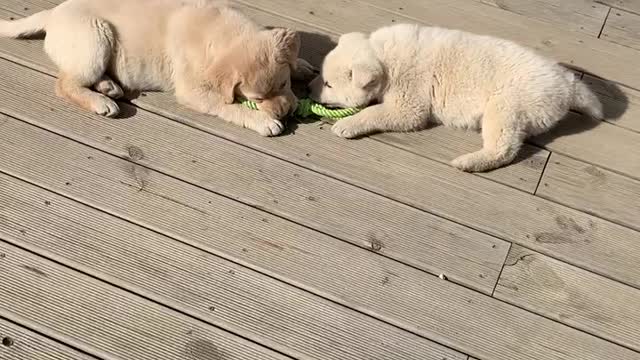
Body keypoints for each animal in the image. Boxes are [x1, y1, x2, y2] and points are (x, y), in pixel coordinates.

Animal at [0, 0, 316, 136]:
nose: (286, 113)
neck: (221, 33)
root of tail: (52, 13)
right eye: (256, 99)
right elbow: (229, 107)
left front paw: (302, 65)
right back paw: (101, 101)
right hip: (95, 37)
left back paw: (108, 86)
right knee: (64, 83)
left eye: (284, 84)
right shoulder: (194, 91)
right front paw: (264, 121)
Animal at [308, 23, 604, 172]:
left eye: (328, 84)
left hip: (507, 106)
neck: (384, 57)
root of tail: (568, 84)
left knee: (504, 148)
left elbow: (378, 112)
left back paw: (469, 163)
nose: (308, 90)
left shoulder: (409, 102)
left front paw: (348, 124)